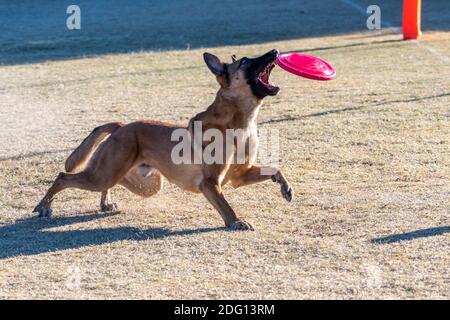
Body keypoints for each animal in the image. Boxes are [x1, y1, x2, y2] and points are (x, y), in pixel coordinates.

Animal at [33, 49, 294, 230]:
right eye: (246, 61)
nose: (275, 52)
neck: (239, 121)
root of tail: (121, 126)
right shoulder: (210, 184)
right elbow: (226, 208)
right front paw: (237, 222)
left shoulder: (240, 176)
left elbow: (275, 169)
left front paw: (285, 188)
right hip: (103, 175)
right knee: (63, 176)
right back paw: (43, 206)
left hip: (142, 182)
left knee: (110, 182)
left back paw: (104, 203)